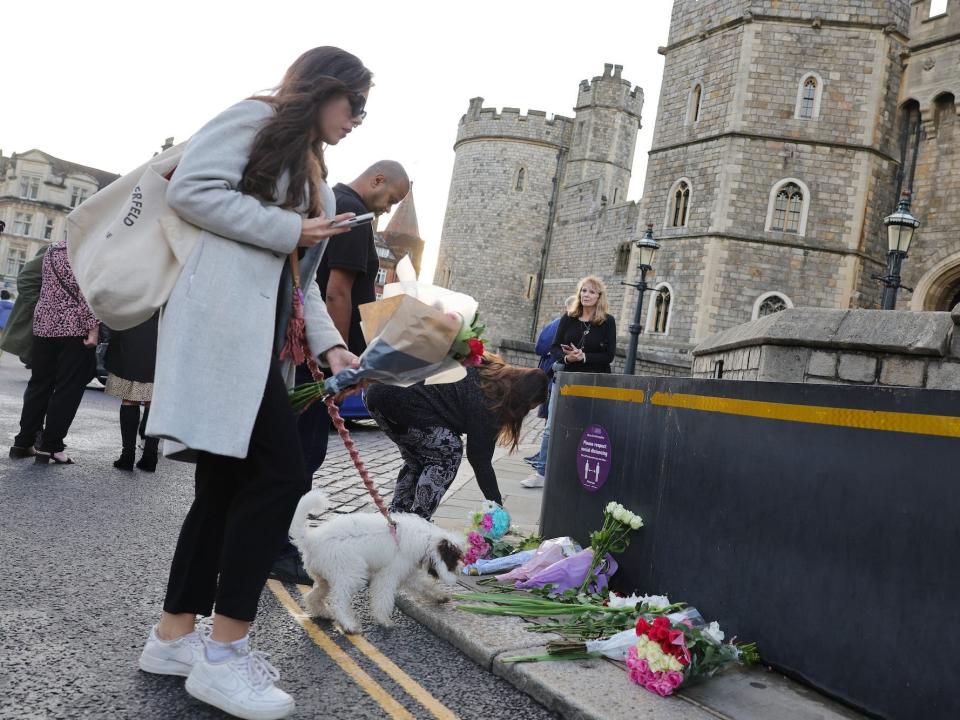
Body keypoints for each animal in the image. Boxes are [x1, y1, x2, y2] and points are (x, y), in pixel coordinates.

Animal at [288, 486, 464, 632]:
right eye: (453, 561)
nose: (456, 578)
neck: (425, 539)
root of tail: (311, 540)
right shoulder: (388, 575)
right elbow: (383, 597)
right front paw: (383, 620)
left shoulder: (408, 572)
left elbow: (424, 584)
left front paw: (440, 595)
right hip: (351, 574)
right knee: (338, 600)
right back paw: (349, 624)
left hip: (325, 578)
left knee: (312, 596)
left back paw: (323, 613)